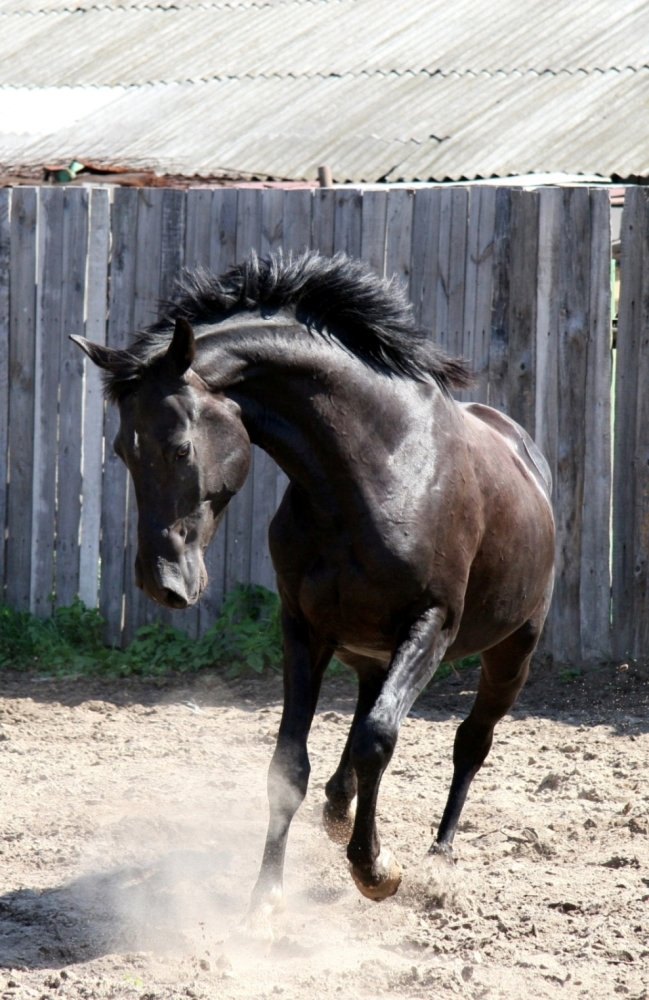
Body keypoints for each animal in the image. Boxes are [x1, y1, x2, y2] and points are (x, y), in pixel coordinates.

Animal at [73, 252, 556, 916]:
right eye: (122, 449)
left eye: (179, 449)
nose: (161, 582)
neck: (375, 472)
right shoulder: (303, 629)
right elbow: (289, 765)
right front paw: (266, 898)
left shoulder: (430, 625)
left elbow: (379, 739)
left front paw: (376, 869)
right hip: (373, 651)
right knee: (363, 729)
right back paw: (339, 811)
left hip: (511, 652)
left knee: (469, 742)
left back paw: (439, 856)